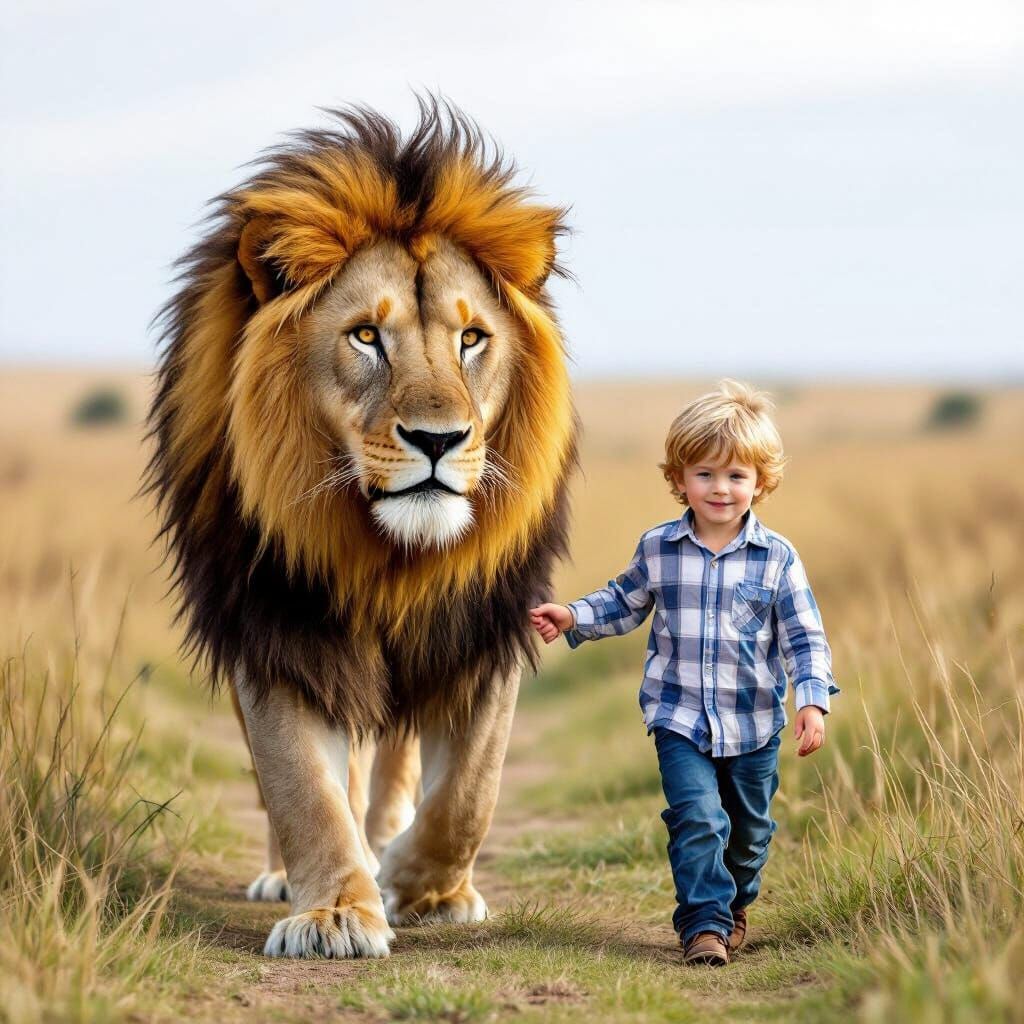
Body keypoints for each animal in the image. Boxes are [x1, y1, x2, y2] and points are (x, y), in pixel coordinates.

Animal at [147, 100, 577, 959]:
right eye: (366, 336)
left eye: (471, 338)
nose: (439, 440)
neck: (389, 556)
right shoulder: (273, 628)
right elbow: (303, 787)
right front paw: (337, 912)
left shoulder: (483, 628)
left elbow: (467, 795)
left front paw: (421, 888)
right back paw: (295, 876)